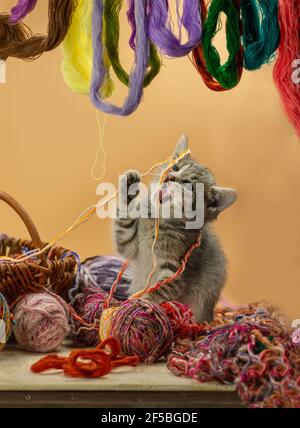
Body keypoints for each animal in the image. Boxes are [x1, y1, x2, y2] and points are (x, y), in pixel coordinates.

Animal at [112, 135, 237, 322]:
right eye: (175, 167)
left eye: (187, 184)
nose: (170, 176)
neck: (158, 221)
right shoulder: (129, 246)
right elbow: (124, 224)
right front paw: (129, 185)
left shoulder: (177, 271)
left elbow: (160, 291)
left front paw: (141, 304)